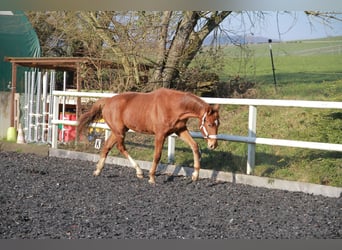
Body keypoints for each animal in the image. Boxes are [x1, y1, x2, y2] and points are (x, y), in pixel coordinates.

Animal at [77, 88, 219, 184]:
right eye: (210, 124)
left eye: (218, 123)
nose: (213, 145)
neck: (174, 106)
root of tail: (107, 101)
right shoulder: (160, 135)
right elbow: (157, 155)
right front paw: (151, 177)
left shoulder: (180, 130)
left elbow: (194, 146)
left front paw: (195, 175)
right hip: (119, 131)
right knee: (120, 147)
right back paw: (139, 171)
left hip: (117, 131)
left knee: (107, 147)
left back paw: (98, 170)